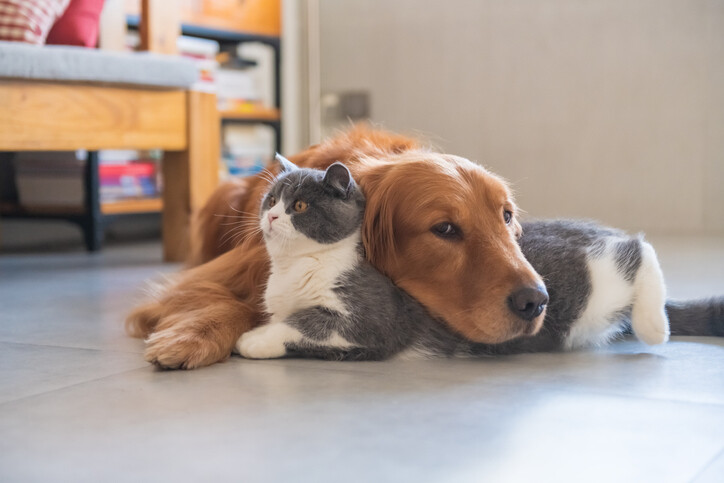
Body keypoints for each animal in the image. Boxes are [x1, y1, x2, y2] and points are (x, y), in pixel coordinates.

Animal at [127, 125, 544, 370]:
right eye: (444, 228)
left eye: (506, 216)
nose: (535, 301)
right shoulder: (222, 270)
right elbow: (224, 300)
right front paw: (191, 337)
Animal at [235, 155, 720, 360]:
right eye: (271, 200)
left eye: (299, 206)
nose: (272, 216)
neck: (296, 269)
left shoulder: (373, 318)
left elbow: (306, 325)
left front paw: (253, 340)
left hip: (595, 285)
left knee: (637, 249)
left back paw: (655, 324)